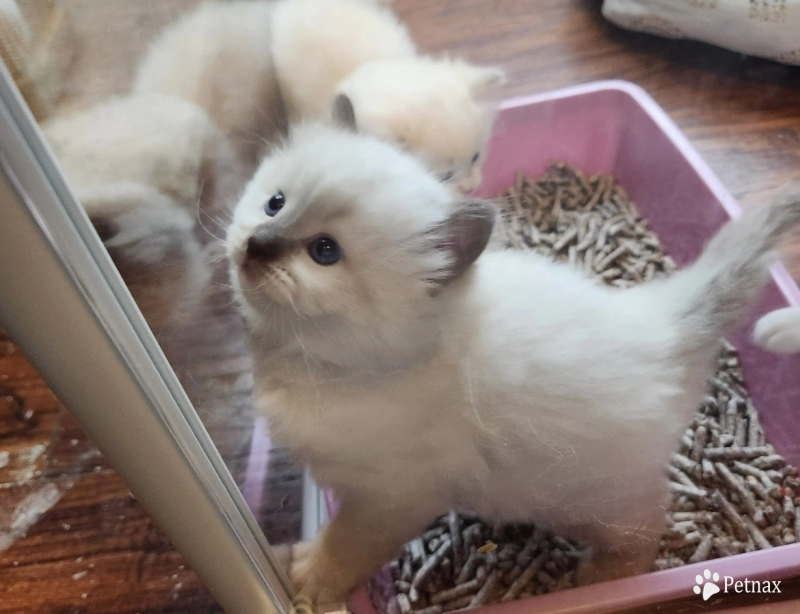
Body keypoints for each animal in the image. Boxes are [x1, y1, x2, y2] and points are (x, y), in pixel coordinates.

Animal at [228, 122, 796, 604]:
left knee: (650, 519)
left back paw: (605, 575)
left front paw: (307, 576)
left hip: (584, 499)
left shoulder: (392, 497)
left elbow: (346, 545)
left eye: (325, 251)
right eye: (275, 203)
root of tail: (663, 320)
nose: (258, 244)